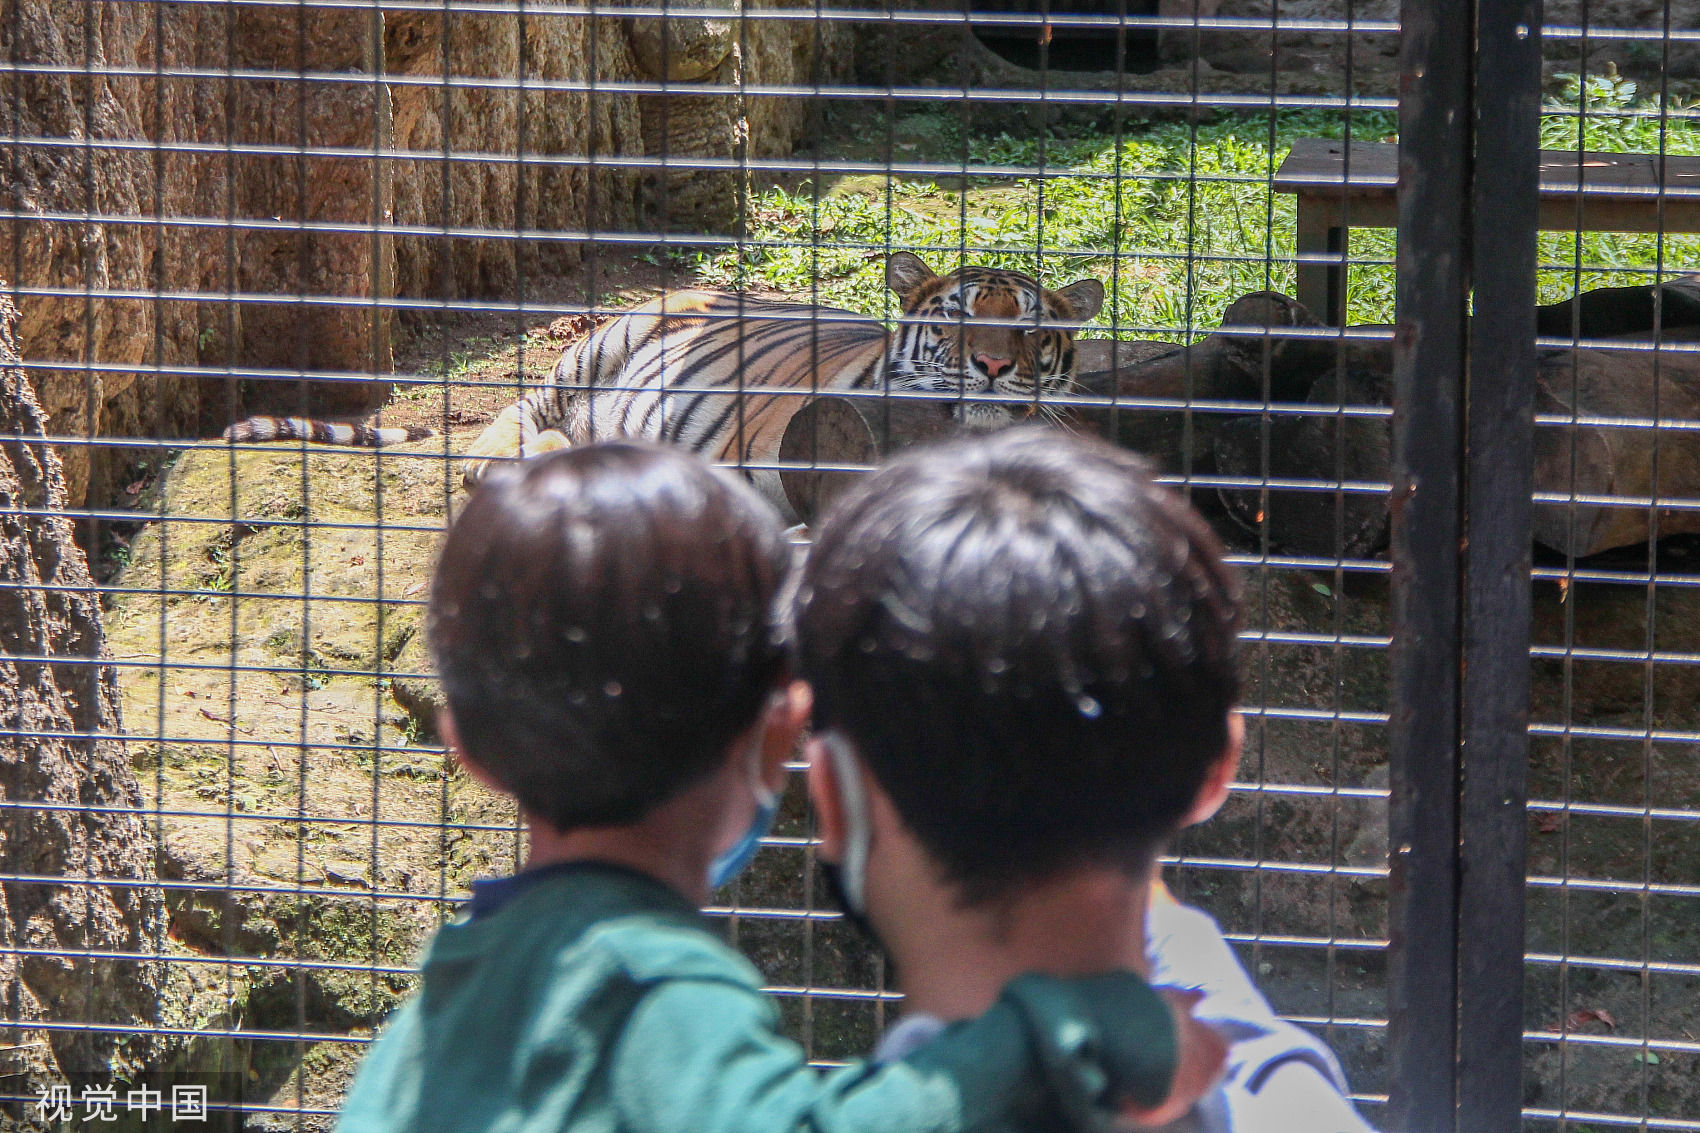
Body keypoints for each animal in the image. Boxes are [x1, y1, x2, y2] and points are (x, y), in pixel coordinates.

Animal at [218, 253, 1106, 520]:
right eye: (956, 318)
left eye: (1031, 330)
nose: (993, 366)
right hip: (602, 344)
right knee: (517, 412)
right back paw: (514, 452)